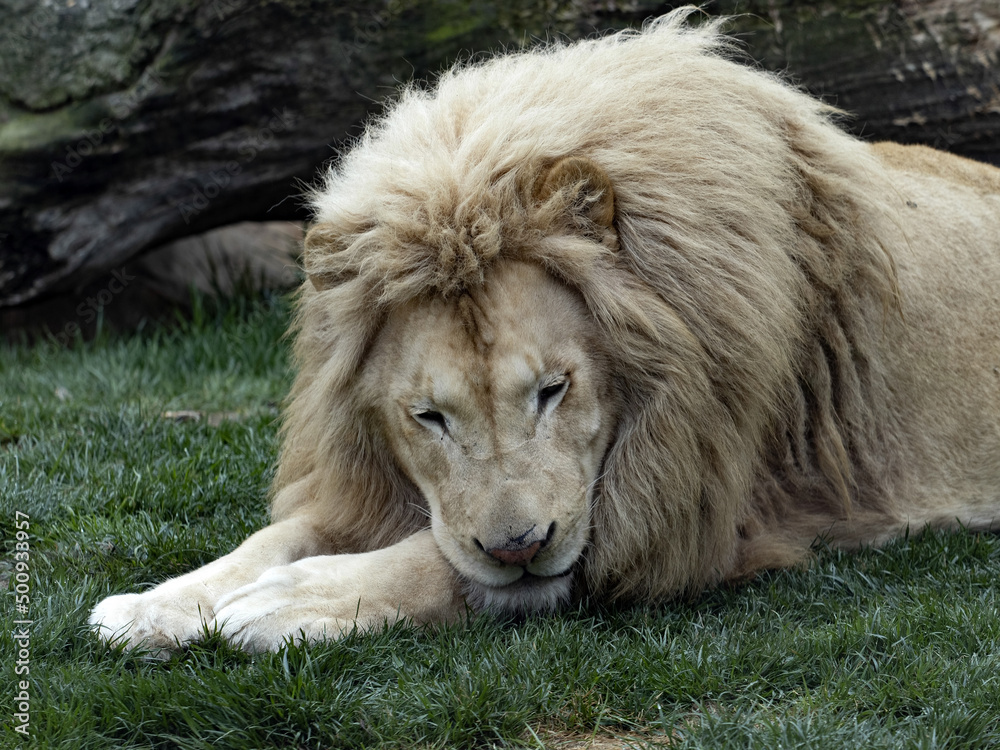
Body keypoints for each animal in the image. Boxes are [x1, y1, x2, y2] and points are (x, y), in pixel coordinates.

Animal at [90, 9, 1000, 653]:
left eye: (554, 391)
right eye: (429, 417)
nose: (517, 545)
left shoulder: (688, 512)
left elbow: (438, 565)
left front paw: (288, 602)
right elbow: (276, 535)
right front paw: (158, 604)